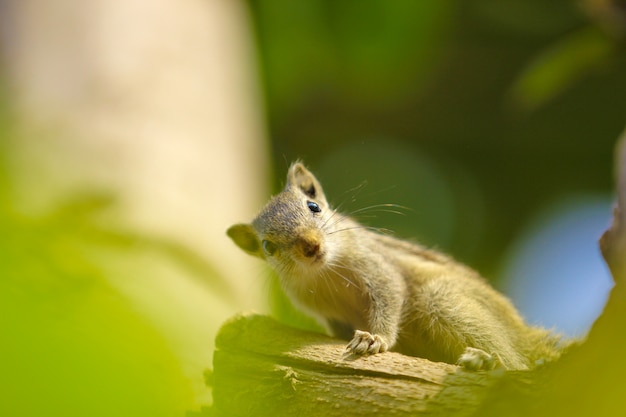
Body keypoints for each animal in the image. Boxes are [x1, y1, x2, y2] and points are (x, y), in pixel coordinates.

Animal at [227, 161, 564, 368]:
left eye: (314, 206)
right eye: (268, 247)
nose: (310, 246)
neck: (325, 272)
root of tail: (525, 336)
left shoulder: (377, 266)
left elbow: (389, 296)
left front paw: (375, 338)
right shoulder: (326, 314)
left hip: (445, 300)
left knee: (518, 365)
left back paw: (485, 360)